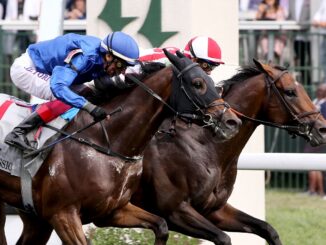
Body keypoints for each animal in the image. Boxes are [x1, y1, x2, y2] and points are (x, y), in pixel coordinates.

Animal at [0, 50, 242, 244]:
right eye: (197, 83)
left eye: (214, 84)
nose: (232, 122)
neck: (104, 140)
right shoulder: (63, 215)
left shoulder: (113, 211)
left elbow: (161, 226)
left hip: (35, 218)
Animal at [131, 59, 326, 245]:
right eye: (290, 92)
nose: (322, 129)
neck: (206, 145)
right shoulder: (175, 211)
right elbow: (223, 238)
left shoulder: (215, 210)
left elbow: (268, 229)